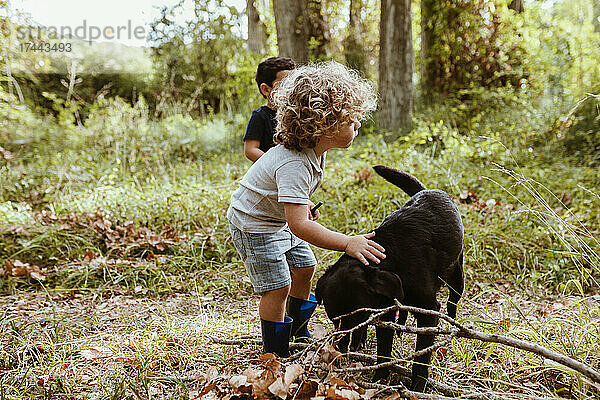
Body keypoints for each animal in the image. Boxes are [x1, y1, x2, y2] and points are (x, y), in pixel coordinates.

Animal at [314, 165, 464, 390]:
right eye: (334, 321)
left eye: (358, 317)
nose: (341, 350)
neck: (391, 254)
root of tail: (428, 190)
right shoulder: (384, 313)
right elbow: (384, 350)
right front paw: (379, 379)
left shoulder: (428, 311)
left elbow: (421, 359)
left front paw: (417, 387)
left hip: (456, 275)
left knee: (453, 299)